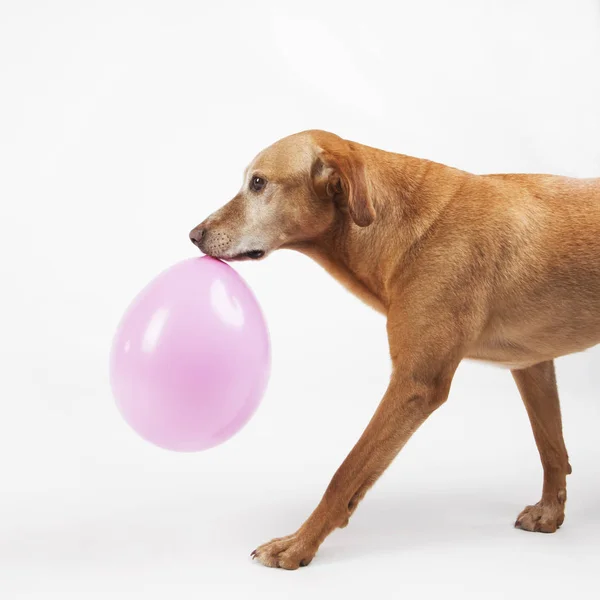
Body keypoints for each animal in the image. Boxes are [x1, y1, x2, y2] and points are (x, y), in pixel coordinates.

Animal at [189, 129, 600, 568]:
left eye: (258, 183)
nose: (193, 235)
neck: (400, 222)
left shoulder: (414, 385)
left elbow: (347, 473)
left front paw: (299, 544)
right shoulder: (532, 364)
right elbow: (551, 447)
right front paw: (551, 512)